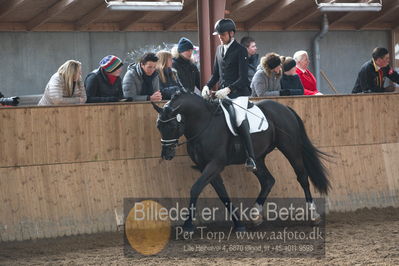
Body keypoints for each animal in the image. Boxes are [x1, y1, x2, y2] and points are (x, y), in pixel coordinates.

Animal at [152, 91, 330, 231]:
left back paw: (313, 216)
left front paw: (188, 225)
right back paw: (255, 216)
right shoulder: (206, 167)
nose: (166, 154)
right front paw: (239, 224)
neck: (204, 123)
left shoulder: (215, 164)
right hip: (258, 158)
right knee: (268, 181)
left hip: (290, 148)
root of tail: (285, 108)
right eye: (158, 126)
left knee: (302, 177)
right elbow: (222, 194)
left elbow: (195, 189)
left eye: (173, 126)